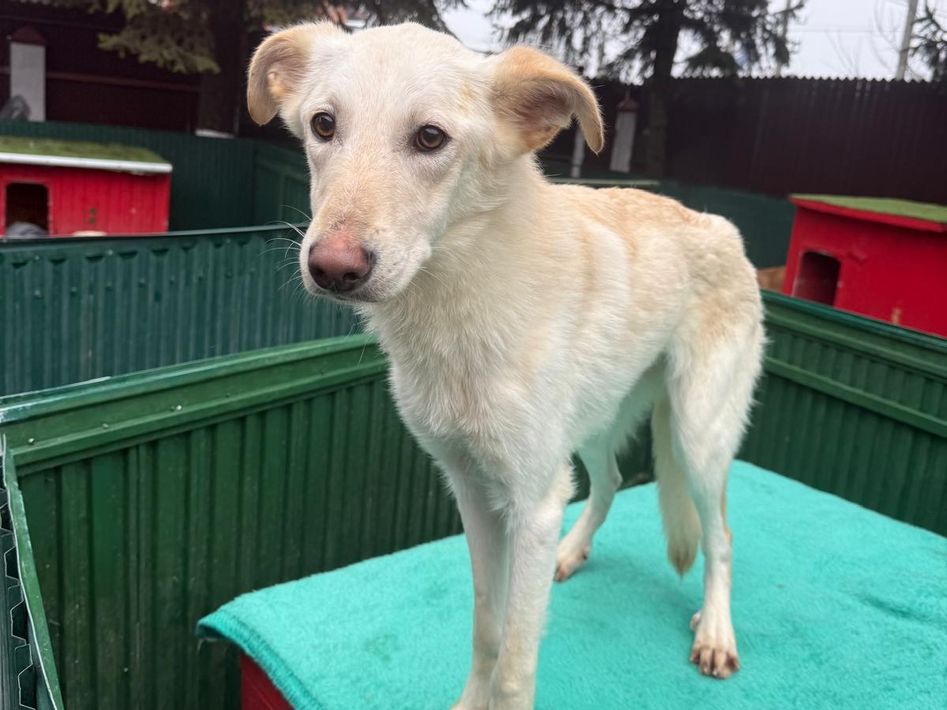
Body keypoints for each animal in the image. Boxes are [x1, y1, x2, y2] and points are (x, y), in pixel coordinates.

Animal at [248, 22, 764, 709]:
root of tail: (720, 225)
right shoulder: (474, 492)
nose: (332, 268)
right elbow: (487, 629)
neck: (455, 308)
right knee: (609, 483)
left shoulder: (532, 503)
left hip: (698, 434)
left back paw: (716, 632)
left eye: (430, 137)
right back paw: (572, 554)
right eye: (323, 125)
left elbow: (516, 665)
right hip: (593, 427)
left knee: (723, 537)